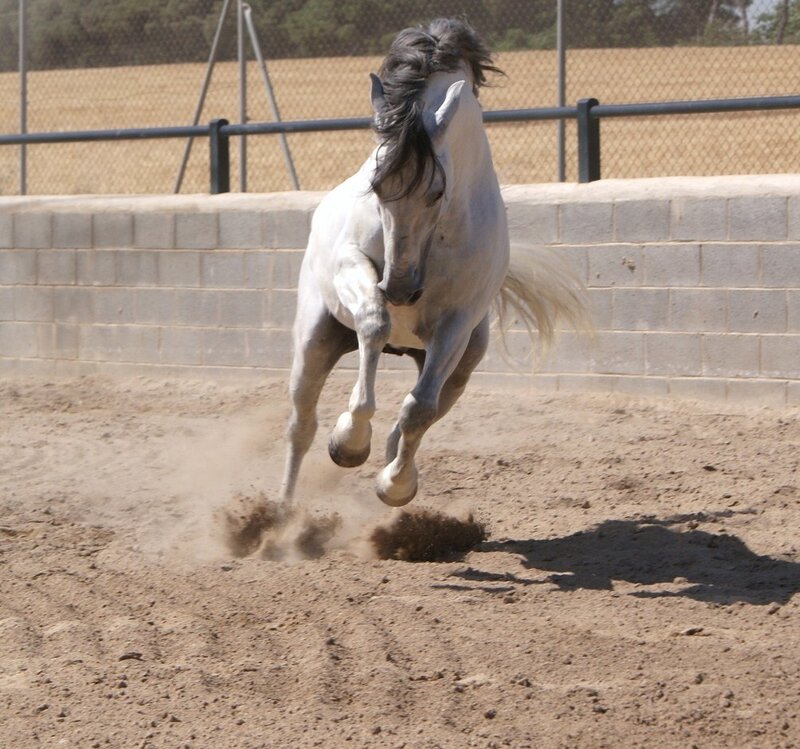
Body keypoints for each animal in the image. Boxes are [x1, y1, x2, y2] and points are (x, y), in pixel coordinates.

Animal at [280, 18, 587, 507]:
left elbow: (418, 409)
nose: (401, 289)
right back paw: (281, 512)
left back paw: (388, 464)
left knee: (414, 414)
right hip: (316, 338)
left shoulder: (456, 325)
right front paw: (349, 441)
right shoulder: (353, 265)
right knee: (302, 423)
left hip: (460, 366)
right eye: (376, 184)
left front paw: (395, 484)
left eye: (438, 191)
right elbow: (373, 324)